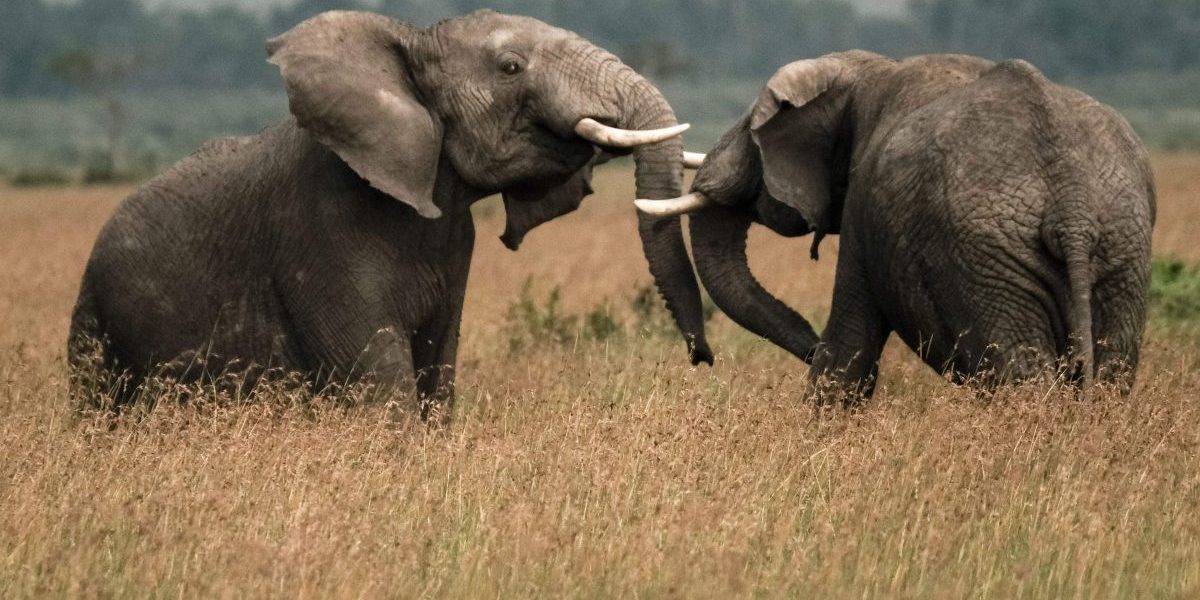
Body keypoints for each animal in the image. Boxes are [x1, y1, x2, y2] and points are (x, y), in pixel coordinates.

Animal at [67, 9, 698, 415]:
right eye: (510, 67)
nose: (701, 357)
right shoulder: (319, 236)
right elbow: (382, 395)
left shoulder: (454, 241)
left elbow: (437, 375)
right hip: (94, 314)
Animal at [638, 51, 1156, 398]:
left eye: (752, 132)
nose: (702, 360)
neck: (864, 68)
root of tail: (1071, 207)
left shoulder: (863, 203)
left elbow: (848, 350)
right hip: (1122, 249)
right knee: (1111, 372)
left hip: (987, 260)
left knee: (1020, 376)